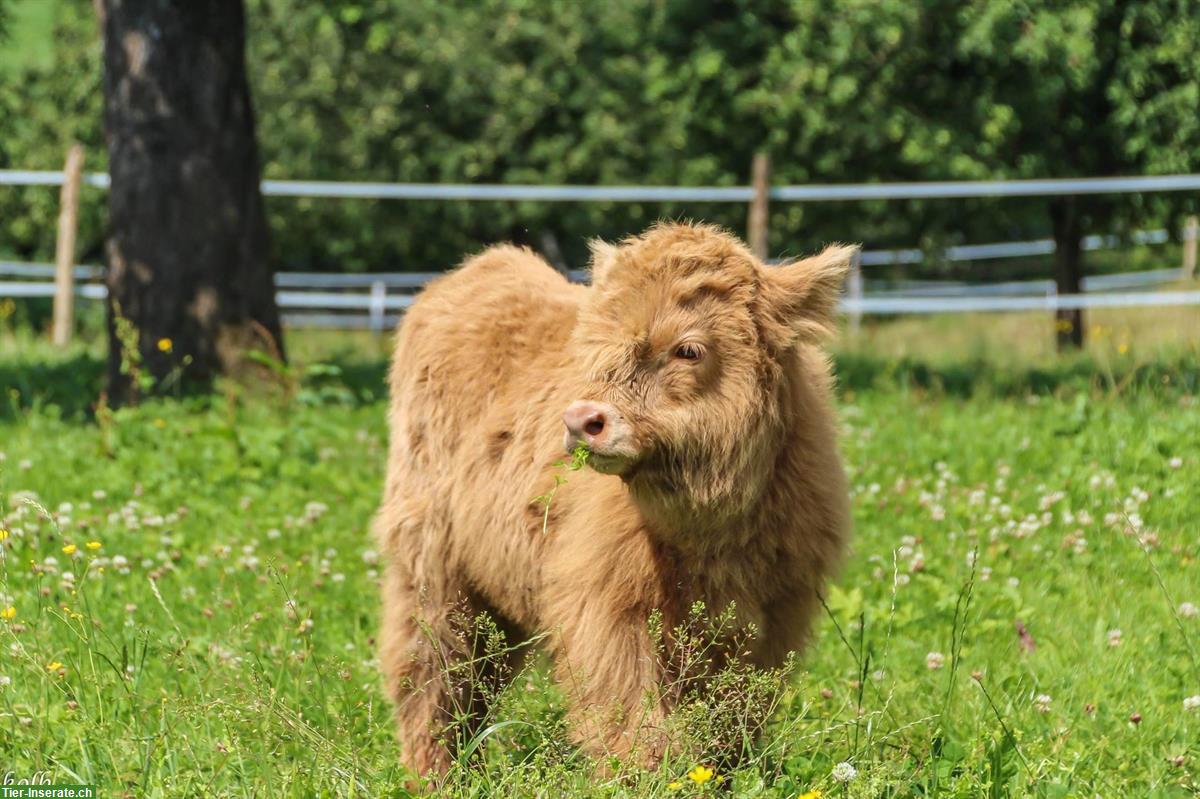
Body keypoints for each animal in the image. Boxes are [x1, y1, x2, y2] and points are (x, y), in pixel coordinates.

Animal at [374, 220, 854, 772]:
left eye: (688, 349)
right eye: (597, 347)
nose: (582, 419)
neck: (710, 532)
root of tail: (477, 269)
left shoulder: (774, 615)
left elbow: (734, 719)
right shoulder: (608, 607)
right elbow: (631, 715)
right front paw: (654, 775)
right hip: (431, 561)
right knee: (432, 670)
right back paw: (437, 773)